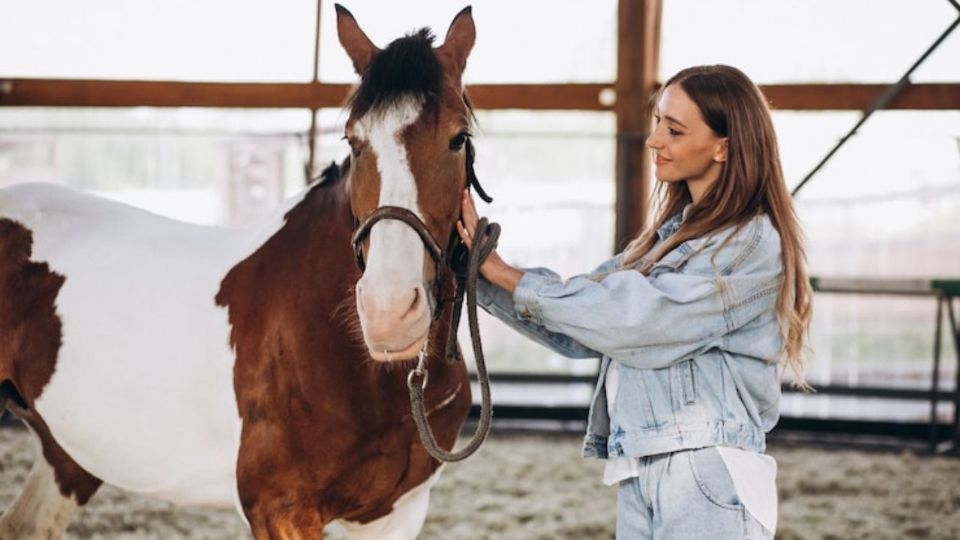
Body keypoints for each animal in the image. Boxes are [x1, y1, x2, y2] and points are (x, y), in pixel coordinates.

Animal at [0, 5, 481, 539]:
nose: (389, 312)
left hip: (67, 456)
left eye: (459, 138)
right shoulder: (279, 509)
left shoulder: (397, 512)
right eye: (354, 142)